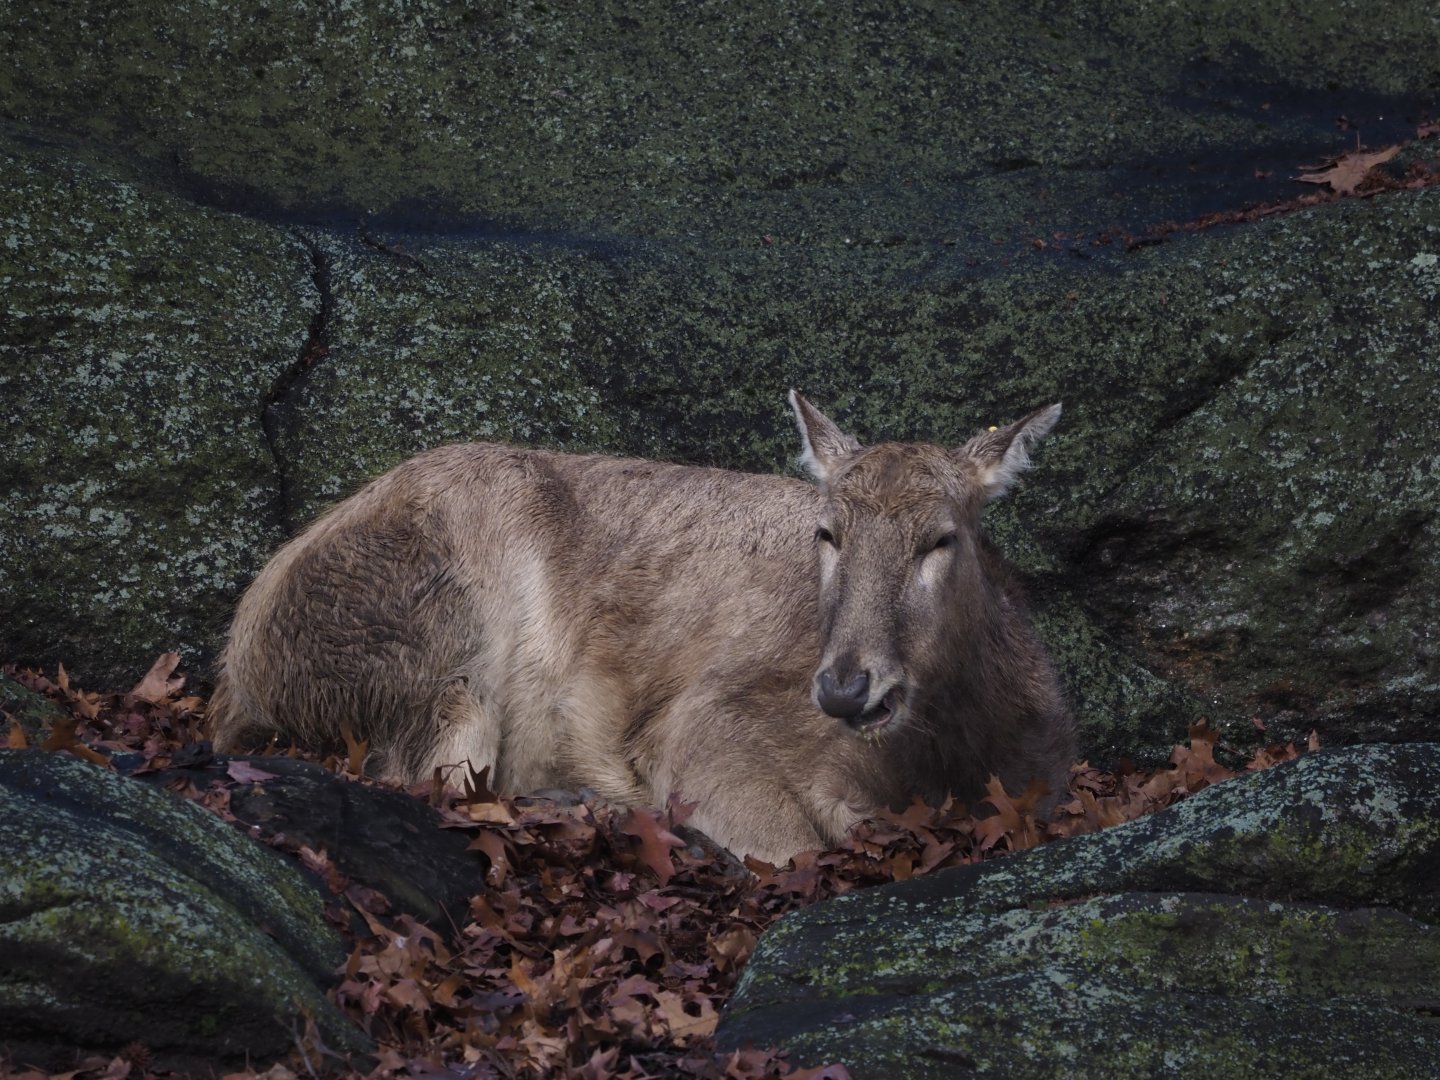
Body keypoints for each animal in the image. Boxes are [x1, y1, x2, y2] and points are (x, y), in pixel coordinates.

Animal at [208, 392, 1075, 864]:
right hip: (435, 644)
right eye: (828, 533)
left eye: (942, 538)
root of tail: (236, 670)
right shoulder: (702, 721)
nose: (844, 686)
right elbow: (792, 844)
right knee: (426, 775)